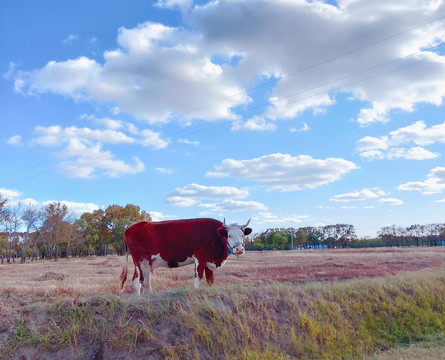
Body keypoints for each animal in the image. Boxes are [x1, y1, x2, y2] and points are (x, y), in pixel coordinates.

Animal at [119, 218, 251, 294]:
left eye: (242, 235)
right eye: (229, 235)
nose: (239, 249)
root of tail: (129, 228)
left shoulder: (209, 261)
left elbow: (210, 279)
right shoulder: (200, 257)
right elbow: (198, 277)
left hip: (142, 263)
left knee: (140, 281)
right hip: (142, 260)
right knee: (141, 281)